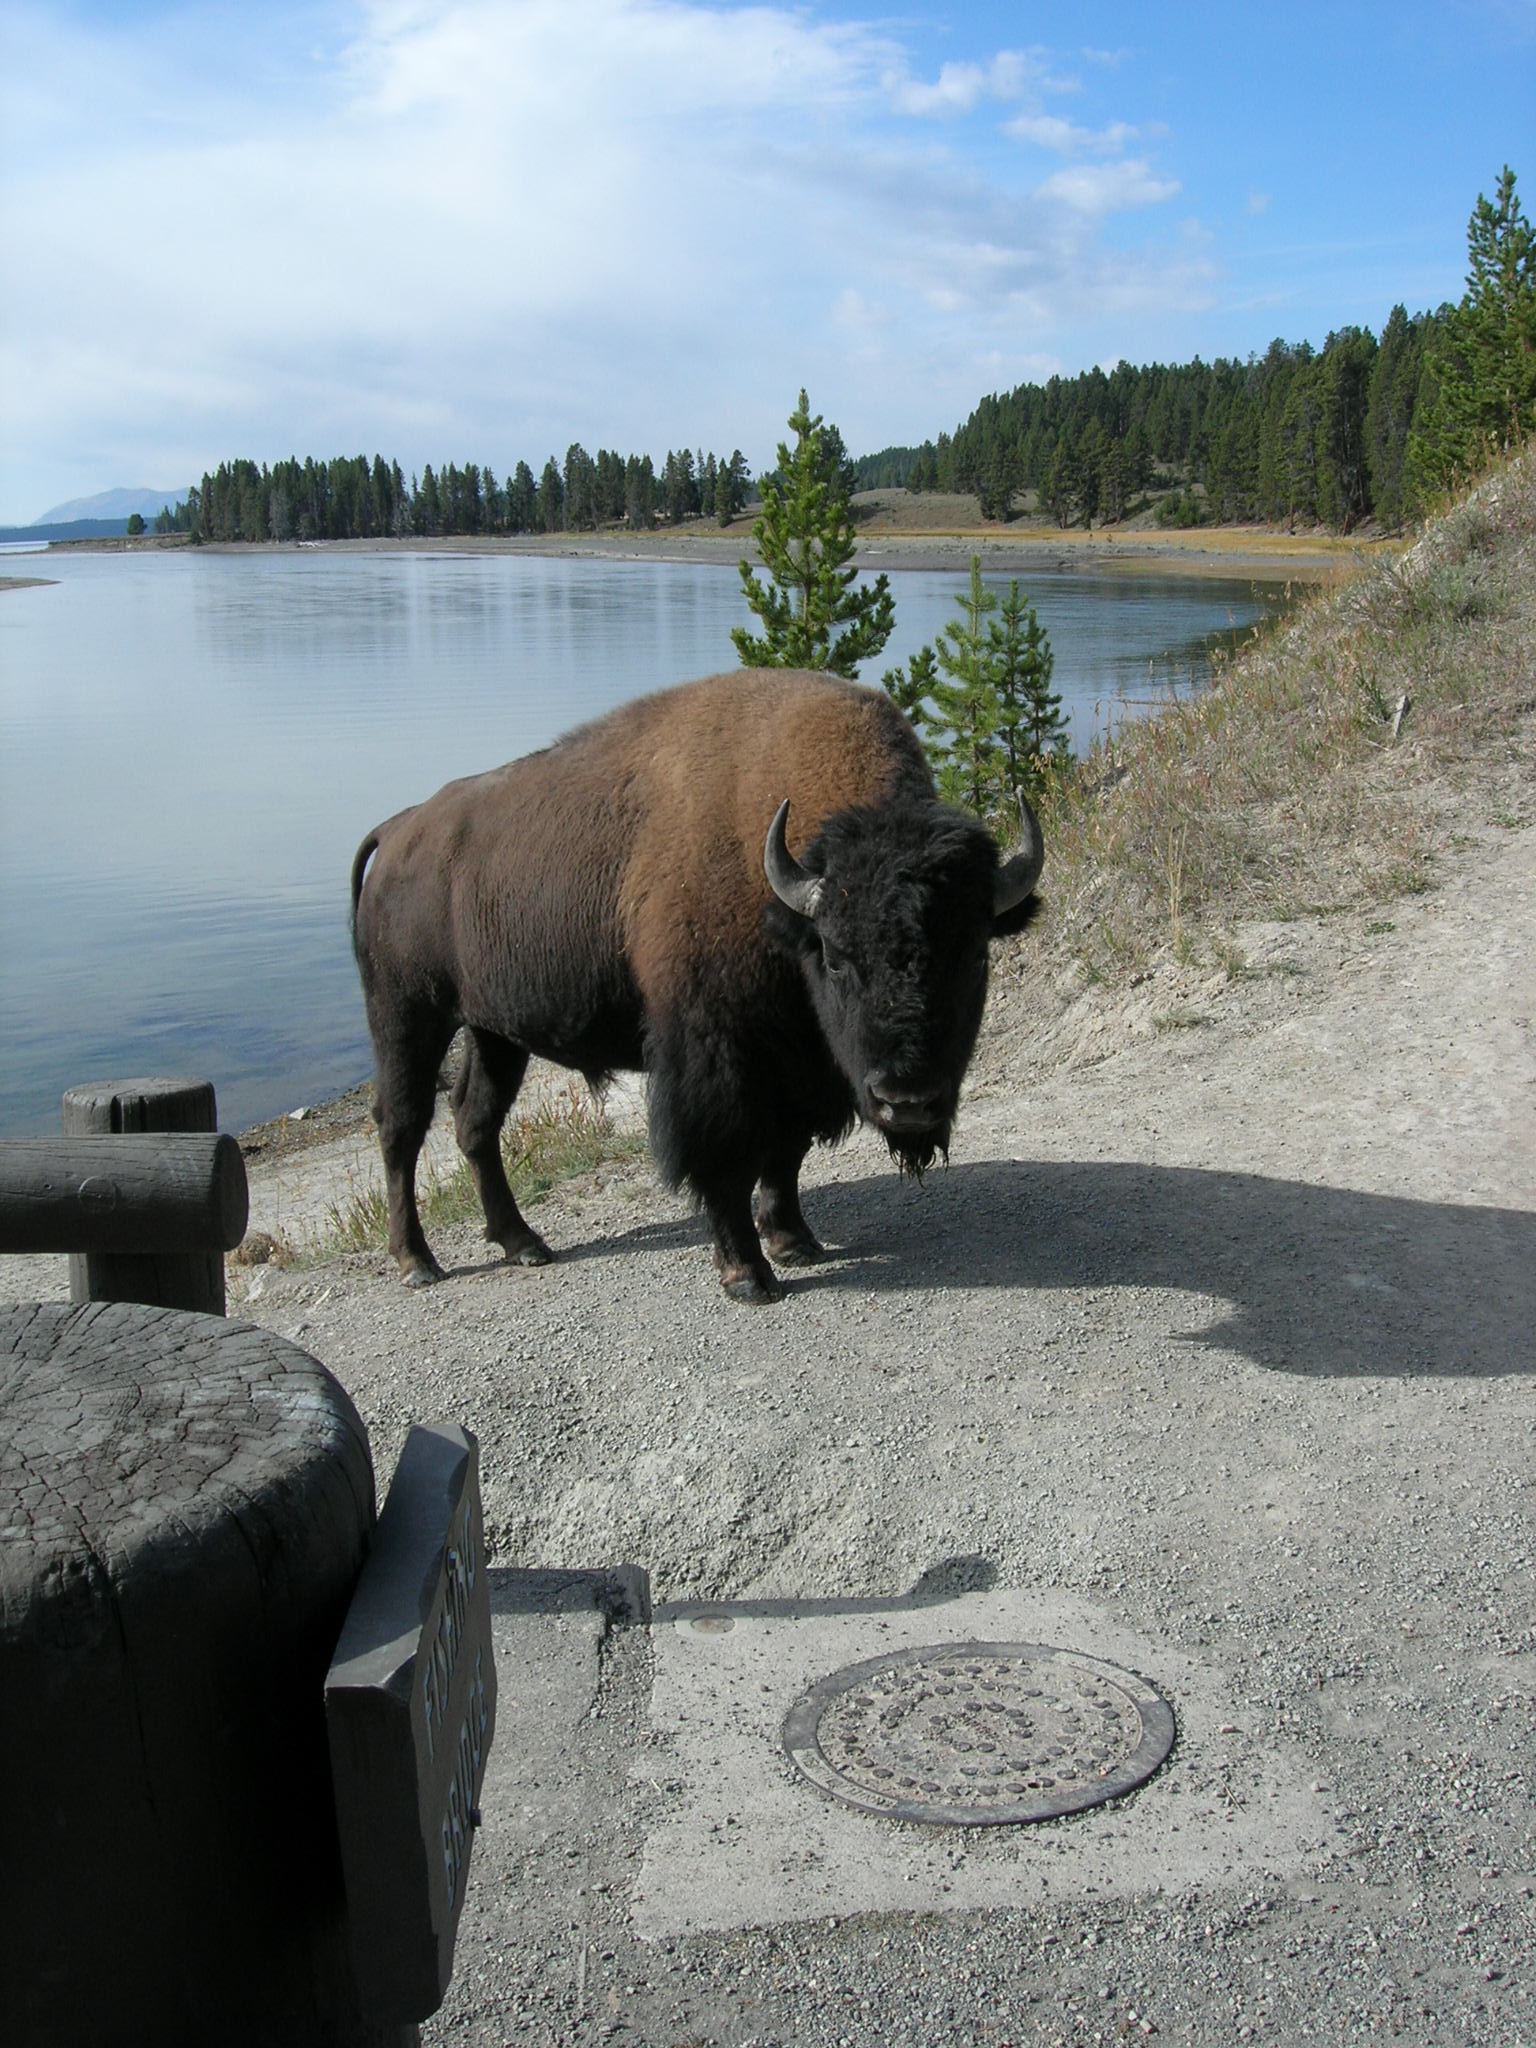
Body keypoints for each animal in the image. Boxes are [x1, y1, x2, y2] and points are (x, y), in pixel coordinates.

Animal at [350, 671, 1048, 1310]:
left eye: (975, 953)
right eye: (836, 957)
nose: (908, 1100)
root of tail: (398, 830)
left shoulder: (804, 1063)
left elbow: (787, 1150)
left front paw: (794, 1240)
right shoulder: (717, 1055)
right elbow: (727, 1157)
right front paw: (748, 1275)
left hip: (494, 1032)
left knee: (475, 1120)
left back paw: (524, 1243)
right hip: (408, 1015)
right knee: (401, 1124)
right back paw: (417, 1261)